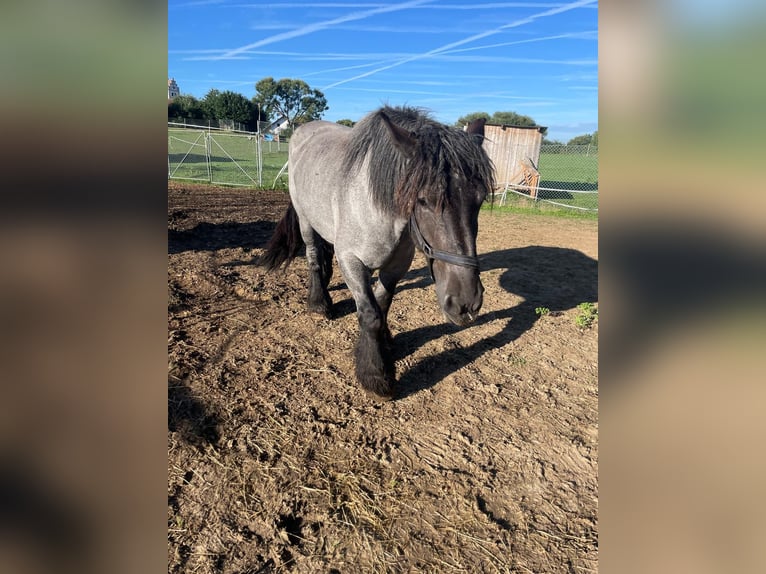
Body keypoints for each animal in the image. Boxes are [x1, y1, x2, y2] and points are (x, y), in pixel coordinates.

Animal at [260, 104, 498, 400]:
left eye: (479, 199)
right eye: (423, 200)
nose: (466, 303)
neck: (375, 208)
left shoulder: (397, 264)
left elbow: (382, 306)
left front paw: (386, 346)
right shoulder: (351, 261)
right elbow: (370, 315)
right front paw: (377, 376)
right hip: (305, 221)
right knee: (314, 256)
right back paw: (319, 302)